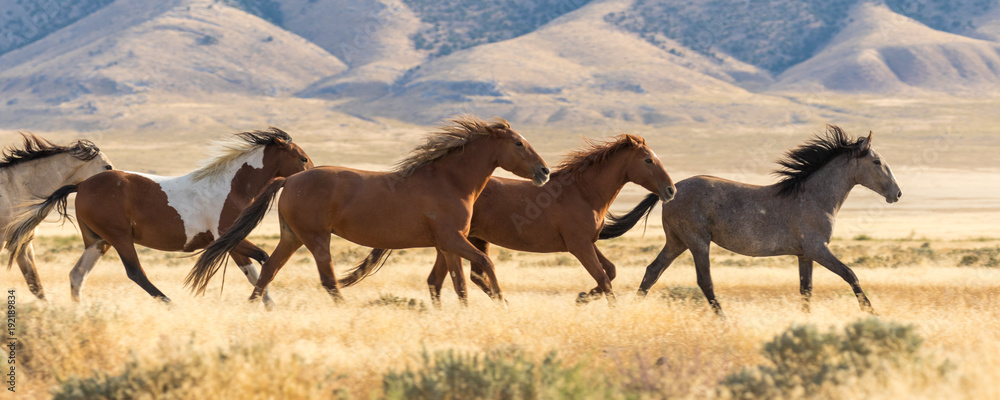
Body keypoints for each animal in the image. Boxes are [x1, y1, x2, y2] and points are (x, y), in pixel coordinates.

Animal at [187, 116, 550, 308]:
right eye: (518, 143)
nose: (544, 172)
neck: (449, 180)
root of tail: (288, 179)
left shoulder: (447, 244)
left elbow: (453, 281)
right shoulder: (453, 239)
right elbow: (483, 264)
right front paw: (502, 304)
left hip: (292, 237)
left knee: (269, 270)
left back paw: (255, 309)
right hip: (316, 238)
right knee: (328, 279)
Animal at [340, 134, 677, 307]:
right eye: (648, 160)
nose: (671, 190)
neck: (584, 192)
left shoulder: (588, 243)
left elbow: (610, 271)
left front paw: (582, 297)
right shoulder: (578, 246)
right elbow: (605, 279)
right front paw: (606, 307)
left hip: (457, 242)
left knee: (445, 279)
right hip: (461, 241)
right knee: (465, 276)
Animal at [599, 126, 901, 316]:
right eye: (876, 162)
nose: (897, 193)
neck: (815, 196)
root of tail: (670, 189)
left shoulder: (805, 254)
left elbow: (806, 290)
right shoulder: (818, 249)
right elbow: (850, 274)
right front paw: (872, 312)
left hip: (677, 242)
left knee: (652, 272)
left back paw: (632, 310)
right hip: (697, 242)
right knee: (704, 281)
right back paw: (724, 319)